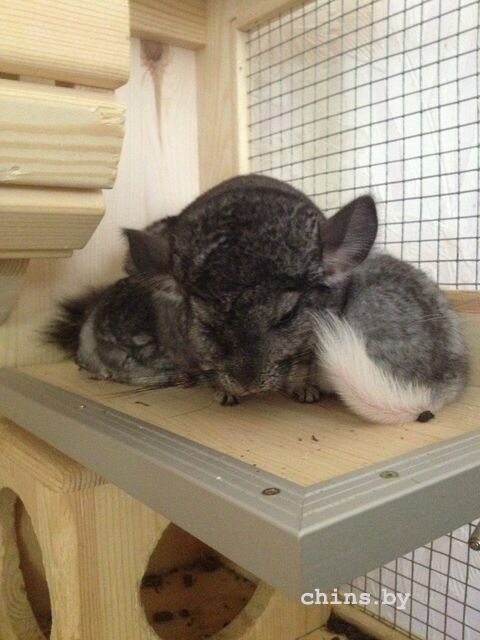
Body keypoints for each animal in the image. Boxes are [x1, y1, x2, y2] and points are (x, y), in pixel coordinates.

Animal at [123, 174, 379, 404]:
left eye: (287, 316)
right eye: (206, 325)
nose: (248, 387)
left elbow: (301, 363)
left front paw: (305, 391)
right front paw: (225, 394)